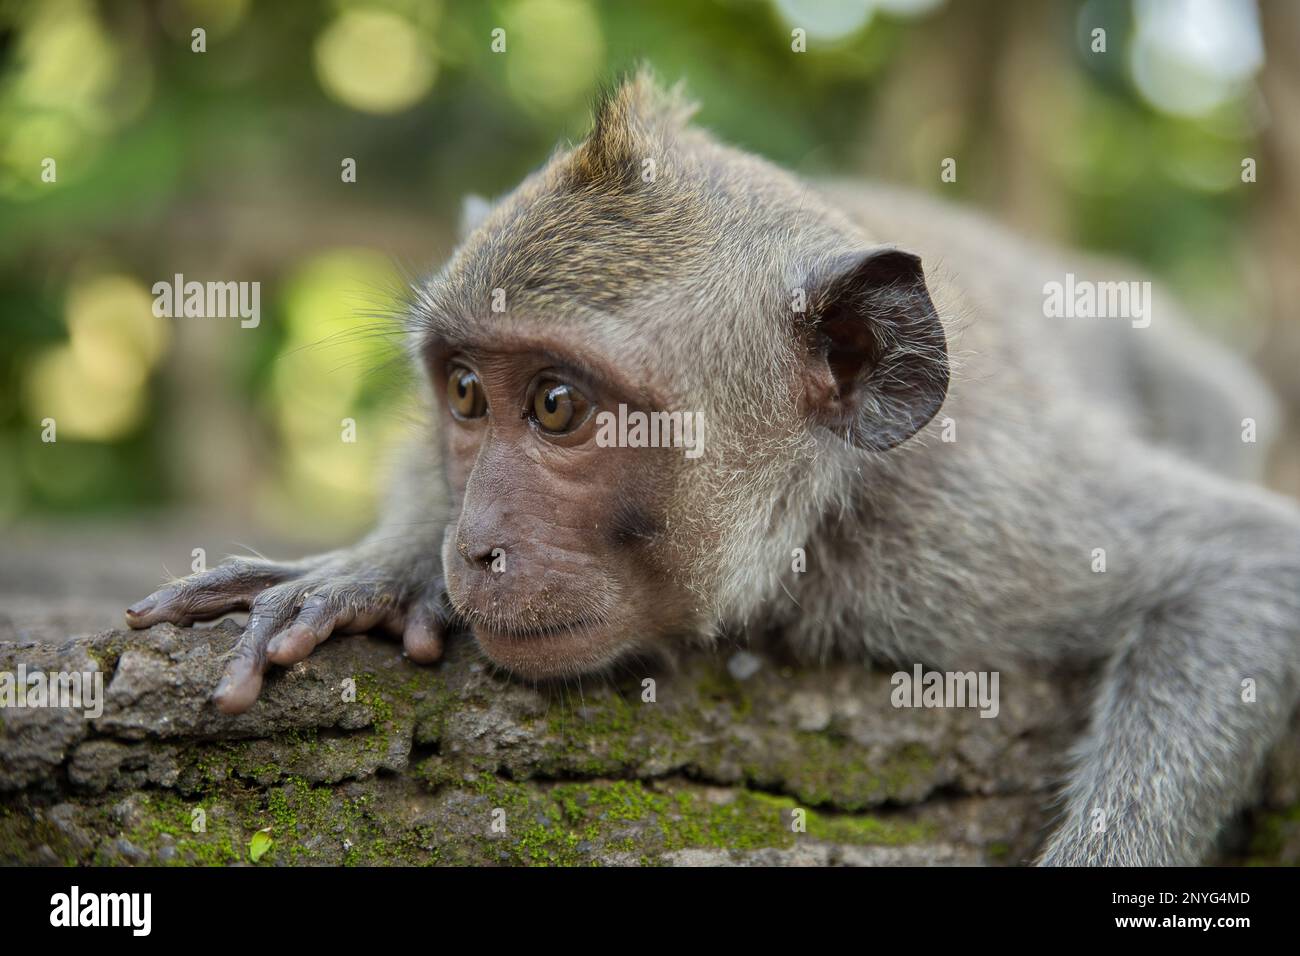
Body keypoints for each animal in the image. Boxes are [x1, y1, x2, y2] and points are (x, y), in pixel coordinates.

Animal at [126, 70, 1300, 868]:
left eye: (557, 407)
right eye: (464, 394)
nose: (476, 545)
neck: (813, 508)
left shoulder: (970, 526)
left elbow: (1247, 564)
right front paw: (379, 564)